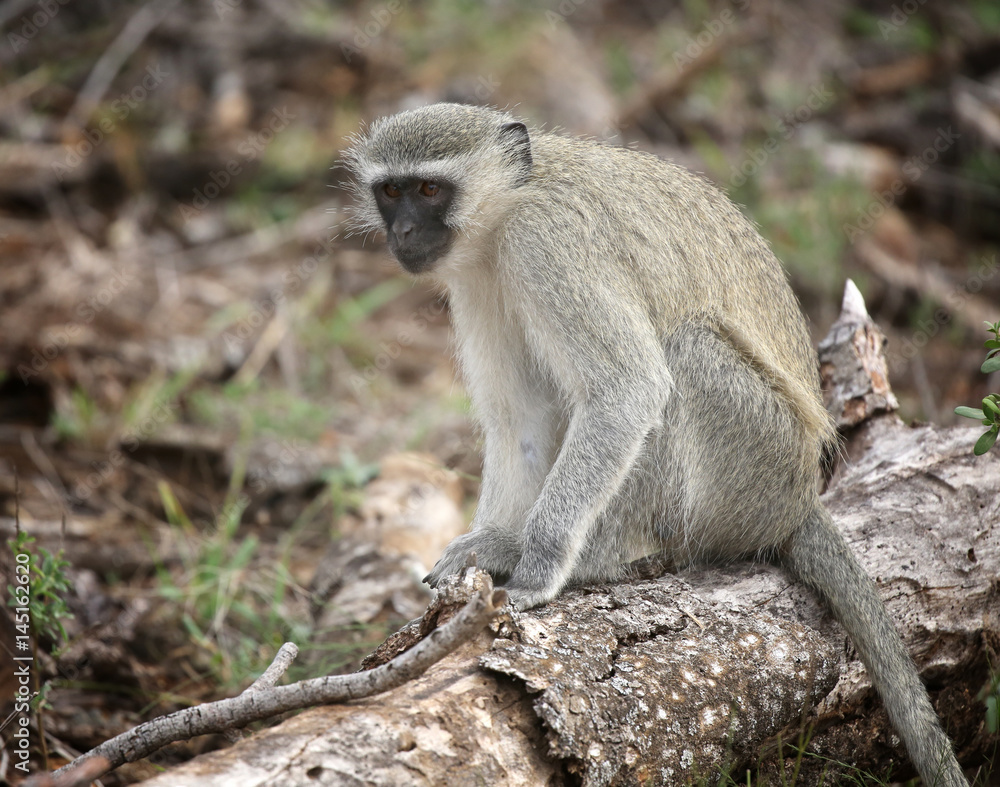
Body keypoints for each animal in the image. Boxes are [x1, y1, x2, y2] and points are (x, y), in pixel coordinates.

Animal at [344, 103, 967, 787]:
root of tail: (799, 500)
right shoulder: (479, 279)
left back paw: (603, 558)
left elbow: (627, 388)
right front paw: (493, 542)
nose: (404, 230)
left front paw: (537, 566)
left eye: (430, 190)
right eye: (391, 191)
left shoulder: (546, 245)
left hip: (756, 465)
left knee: (682, 353)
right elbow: (521, 419)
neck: (509, 207)